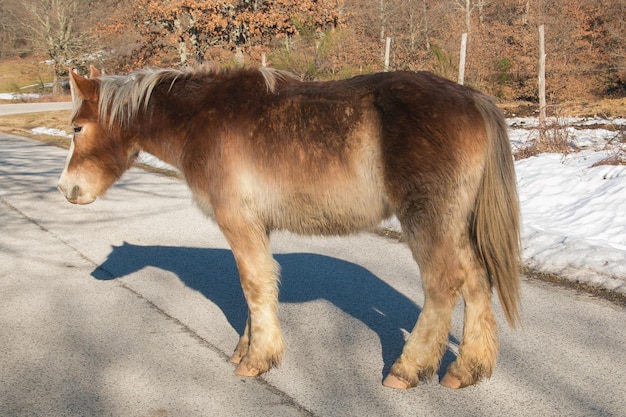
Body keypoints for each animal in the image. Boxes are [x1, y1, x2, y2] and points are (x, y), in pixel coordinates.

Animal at [58, 63, 520, 388]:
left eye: (78, 128)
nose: (66, 189)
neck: (201, 119)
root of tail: (473, 98)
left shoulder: (239, 223)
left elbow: (253, 284)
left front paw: (257, 361)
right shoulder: (255, 226)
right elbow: (256, 286)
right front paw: (245, 350)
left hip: (428, 220)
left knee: (444, 283)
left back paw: (406, 370)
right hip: (454, 222)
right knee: (476, 279)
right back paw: (465, 370)